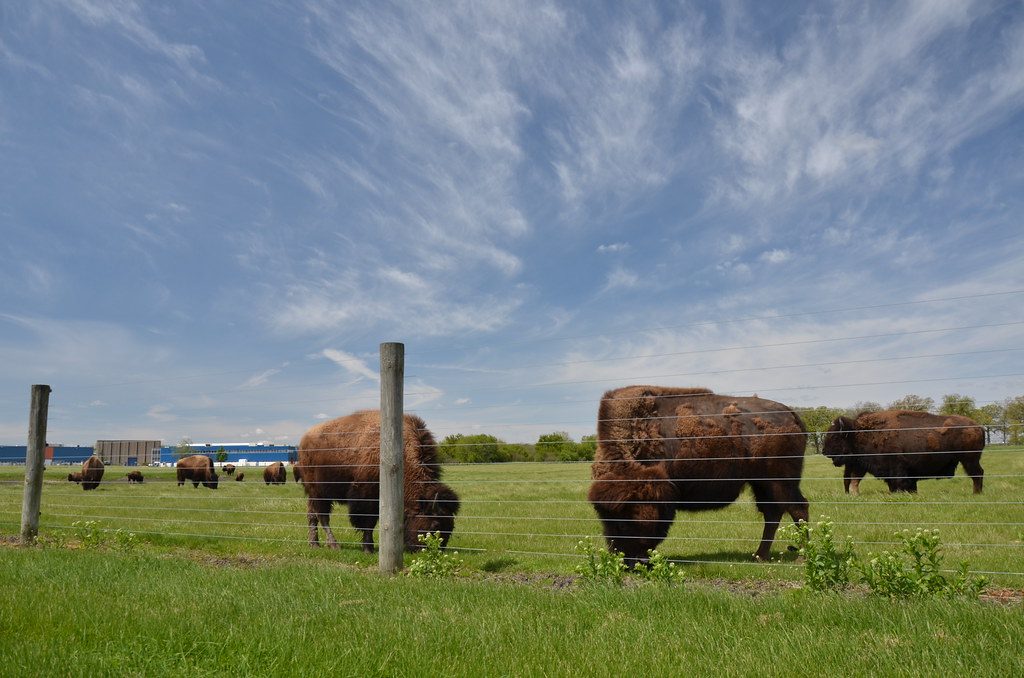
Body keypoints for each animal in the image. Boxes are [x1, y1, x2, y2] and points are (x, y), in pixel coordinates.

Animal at [297, 409, 460, 553]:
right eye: (434, 524)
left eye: (451, 527)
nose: (434, 552)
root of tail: (304, 440)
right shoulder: (366, 498)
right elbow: (368, 523)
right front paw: (368, 548)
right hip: (319, 492)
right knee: (322, 516)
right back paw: (334, 545)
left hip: (314, 494)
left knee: (312, 515)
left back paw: (314, 544)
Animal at [588, 386, 809, 563]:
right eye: (604, 519)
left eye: (623, 522)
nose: (626, 562)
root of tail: (790, 413)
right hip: (762, 483)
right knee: (773, 513)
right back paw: (759, 556)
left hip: (780, 480)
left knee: (797, 508)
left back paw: (801, 558)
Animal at [823, 410, 985, 494]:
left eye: (835, 436)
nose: (824, 451)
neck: (858, 433)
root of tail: (978, 426)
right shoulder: (862, 464)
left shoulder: (897, 467)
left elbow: (899, 481)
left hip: (969, 459)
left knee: (977, 474)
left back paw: (975, 494)